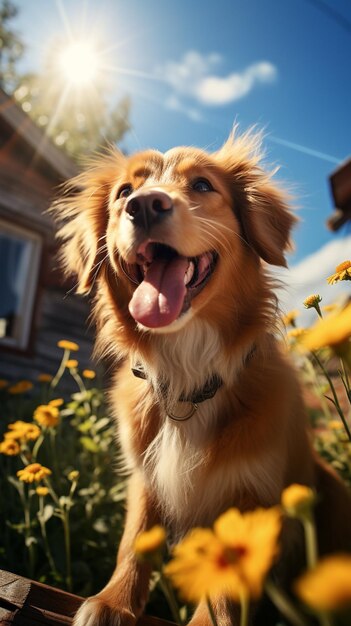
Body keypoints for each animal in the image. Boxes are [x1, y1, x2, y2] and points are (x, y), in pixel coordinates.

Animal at [53, 129, 351, 620]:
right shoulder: (145, 477)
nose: (144, 205)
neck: (187, 372)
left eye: (202, 186)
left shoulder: (252, 494)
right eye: (124, 192)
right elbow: (134, 540)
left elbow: (227, 585)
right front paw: (113, 602)